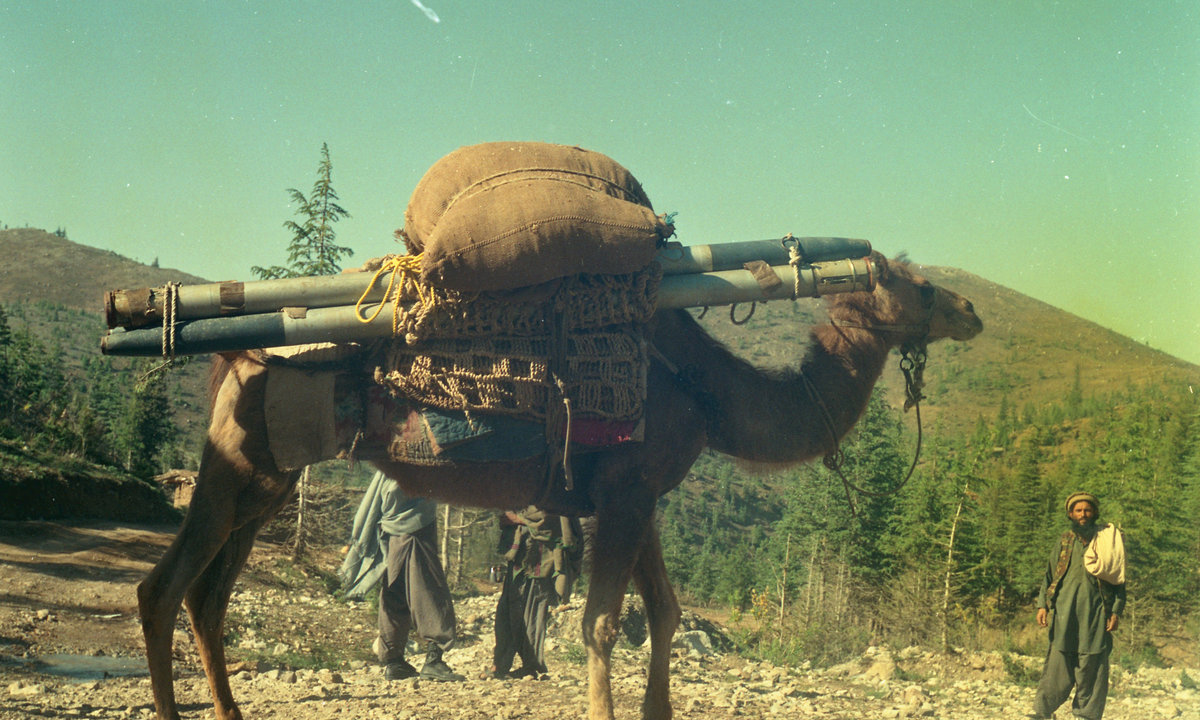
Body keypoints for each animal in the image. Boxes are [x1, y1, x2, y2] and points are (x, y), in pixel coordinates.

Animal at [136, 251, 982, 720]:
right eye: (920, 287)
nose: (971, 307)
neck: (707, 393)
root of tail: (231, 356)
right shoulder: (627, 492)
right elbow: (603, 625)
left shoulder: (637, 495)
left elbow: (666, 612)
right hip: (236, 461)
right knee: (162, 586)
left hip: (269, 477)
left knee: (208, 595)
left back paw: (231, 711)